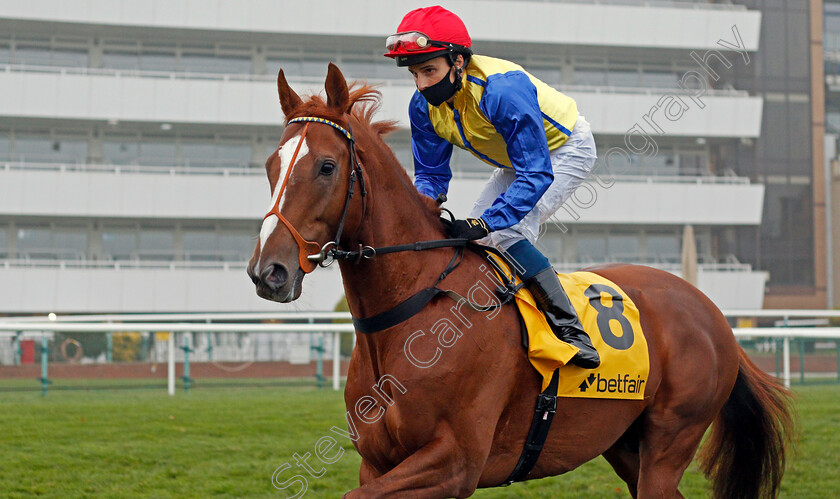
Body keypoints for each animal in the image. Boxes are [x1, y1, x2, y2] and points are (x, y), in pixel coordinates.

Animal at [248, 63, 796, 499]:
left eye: (326, 166)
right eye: (271, 165)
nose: (267, 271)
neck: (415, 307)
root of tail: (710, 311)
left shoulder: (455, 462)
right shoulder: (378, 461)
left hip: (670, 437)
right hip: (624, 443)